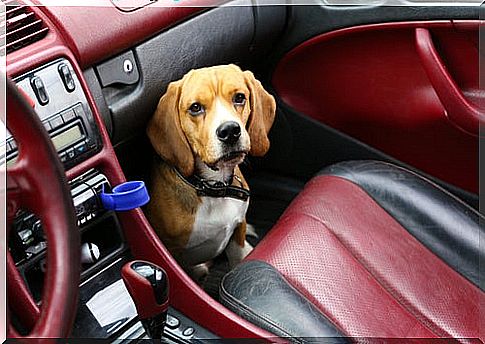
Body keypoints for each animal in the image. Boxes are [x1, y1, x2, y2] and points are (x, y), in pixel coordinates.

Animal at [146, 63, 274, 268]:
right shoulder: (172, 252)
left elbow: (237, 257)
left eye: (239, 97)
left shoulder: (237, 231)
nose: (230, 131)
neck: (214, 187)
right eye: (195, 107)